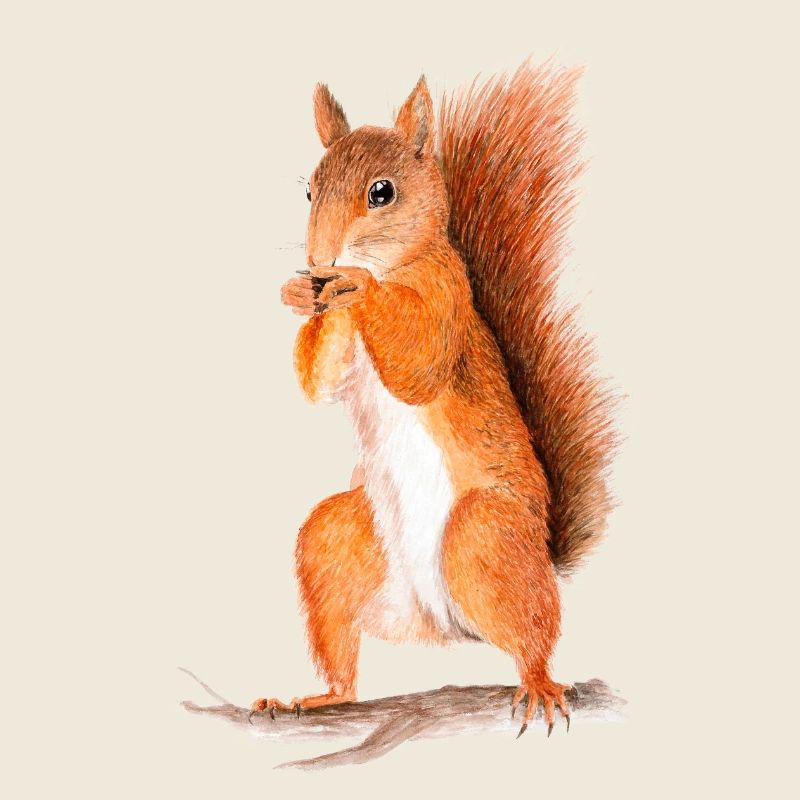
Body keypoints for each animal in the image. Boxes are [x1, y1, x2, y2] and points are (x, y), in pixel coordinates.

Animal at [251, 62, 615, 736]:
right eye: (309, 191)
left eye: (382, 192)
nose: (320, 259)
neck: (398, 262)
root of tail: (442, 627)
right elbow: (320, 383)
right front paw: (303, 295)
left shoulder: (447, 294)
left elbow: (418, 365)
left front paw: (355, 285)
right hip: (335, 544)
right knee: (342, 651)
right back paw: (317, 697)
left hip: (486, 534)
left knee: (533, 636)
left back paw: (538, 683)